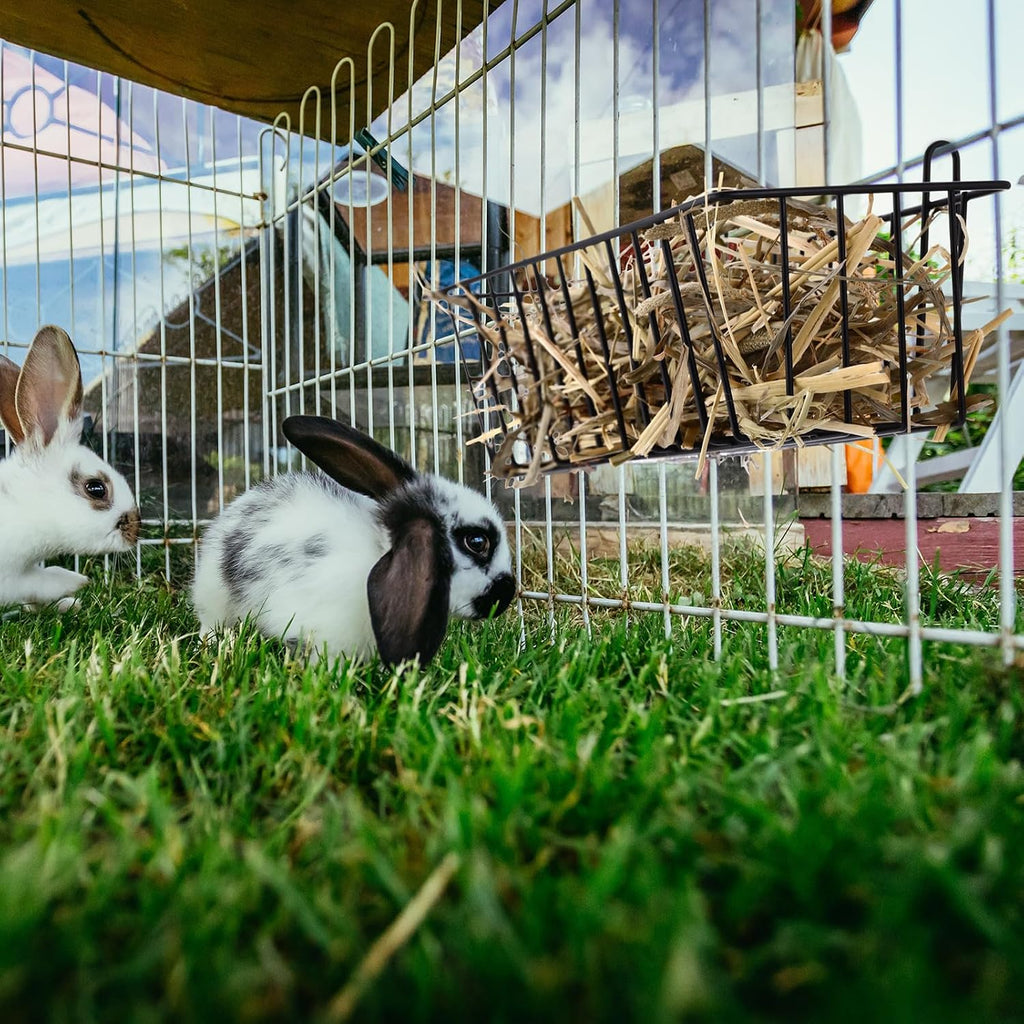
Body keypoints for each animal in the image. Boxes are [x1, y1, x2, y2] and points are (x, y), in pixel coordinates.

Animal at [0, 325, 141, 610]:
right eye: (96, 488)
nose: (136, 531)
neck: (21, 505)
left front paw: (68, 601)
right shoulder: (12, 579)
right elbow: (42, 581)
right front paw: (76, 582)